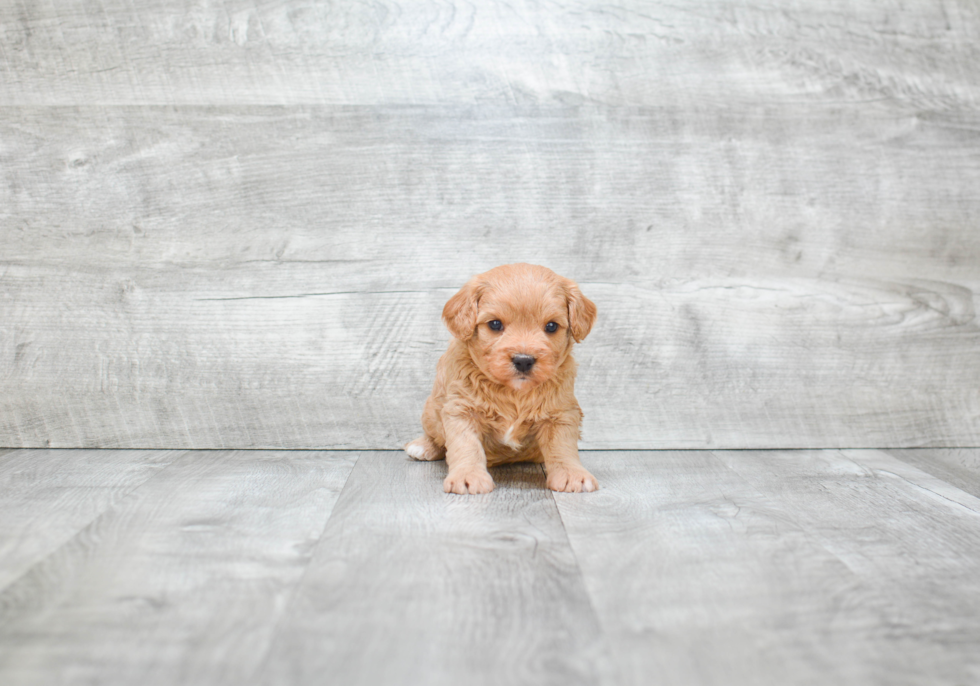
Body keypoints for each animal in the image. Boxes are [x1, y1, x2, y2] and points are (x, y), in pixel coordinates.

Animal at [404, 264, 596, 494]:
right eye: (495, 324)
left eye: (551, 326)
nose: (523, 360)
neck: (513, 391)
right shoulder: (461, 409)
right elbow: (466, 445)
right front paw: (468, 477)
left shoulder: (561, 413)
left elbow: (563, 446)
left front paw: (572, 474)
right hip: (431, 409)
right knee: (435, 434)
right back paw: (423, 446)